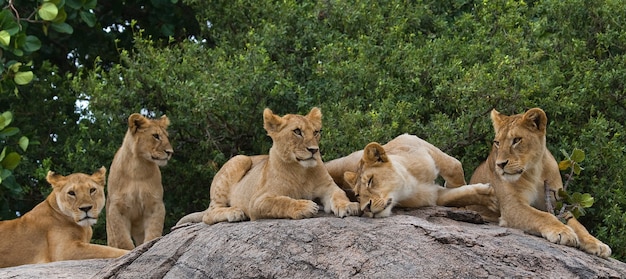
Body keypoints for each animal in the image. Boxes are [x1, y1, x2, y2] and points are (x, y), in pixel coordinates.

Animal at [105, 112, 172, 250]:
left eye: (166, 136)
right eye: (156, 136)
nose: (170, 152)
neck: (138, 168)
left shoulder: (155, 204)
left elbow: (153, 233)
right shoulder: (117, 208)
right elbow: (123, 240)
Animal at [178, 107, 358, 228]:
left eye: (316, 132)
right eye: (297, 131)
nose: (314, 150)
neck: (302, 171)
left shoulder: (328, 187)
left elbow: (339, 194)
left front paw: (348, 206)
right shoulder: (257, 201)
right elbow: (281, 202)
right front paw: (304, 206)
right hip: (240, 159)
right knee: (209, 214)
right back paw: (234, 212)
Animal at [324, 134, 494, 219]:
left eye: (371, 181)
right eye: (358, 195)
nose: (366, 208)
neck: (409, 183)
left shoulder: (414, 140)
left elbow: (454, 167)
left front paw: (487, 197)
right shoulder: (434, 197)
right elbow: (458, 195)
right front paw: (488, 199)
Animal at [470, 108, 608, 260]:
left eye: (516, 140)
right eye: (497, 142)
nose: (500, 165)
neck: (535, 171)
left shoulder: (556, 203)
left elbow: (576, 223)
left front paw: (597, 243)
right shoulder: (512, 206)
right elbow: (543, 216)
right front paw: (563, 231)